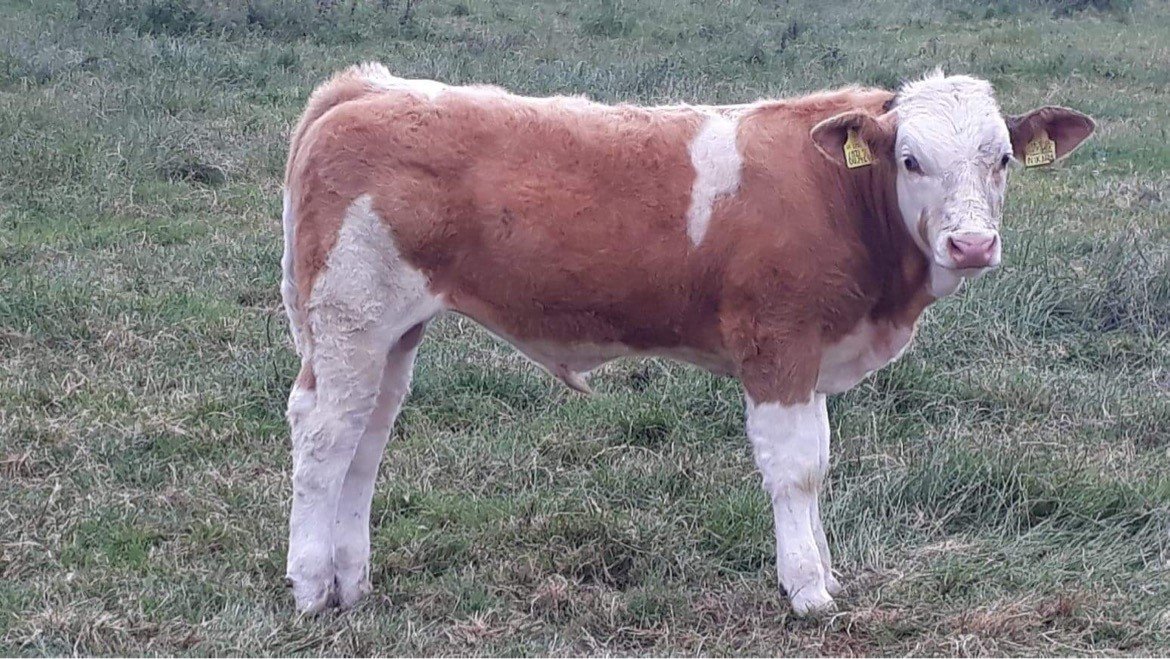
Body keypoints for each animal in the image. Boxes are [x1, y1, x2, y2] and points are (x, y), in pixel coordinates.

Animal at [280, 64, 1094, 616]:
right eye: (910, 160)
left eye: (1003, 159)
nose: (971, 245)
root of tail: (369, 87)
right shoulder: (777, 343)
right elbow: (796, 468)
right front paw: (808, 590)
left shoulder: (810, 354)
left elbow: (820, 462)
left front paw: (824, 571)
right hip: (349, 318)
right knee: (323, 436)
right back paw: (312, 588)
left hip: (392, 332)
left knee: (366, 440)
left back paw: (352, 582)